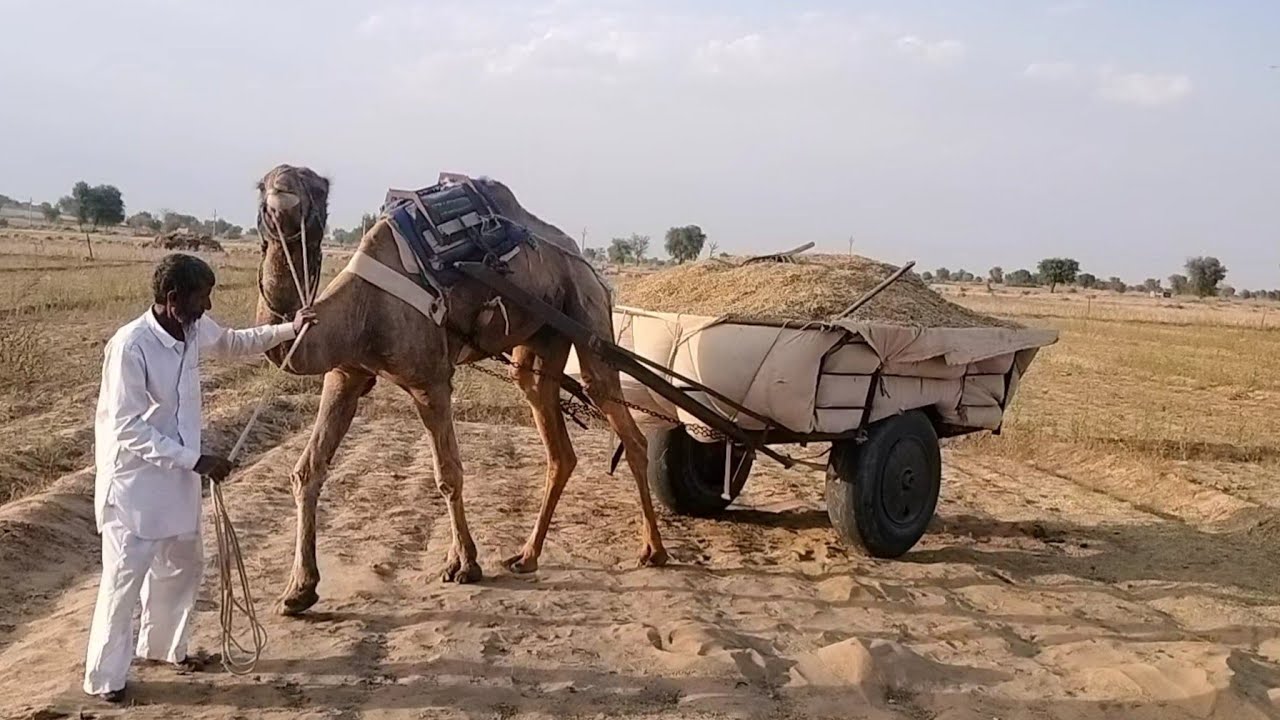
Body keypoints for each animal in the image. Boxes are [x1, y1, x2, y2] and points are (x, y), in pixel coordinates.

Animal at [252, 164, 668, 615]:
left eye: (316, 188)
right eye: (262, 185)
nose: (282, 194)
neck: (364, 310)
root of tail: (591, 268)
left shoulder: (430, 380)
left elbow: (449, 473)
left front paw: (465, 564)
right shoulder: (346, 374)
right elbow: (307, 469)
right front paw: (298, 590)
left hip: (587, 314)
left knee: (624, 422)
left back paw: (653, 551)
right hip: (542, 341)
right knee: (557, 441)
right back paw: (527, 556)